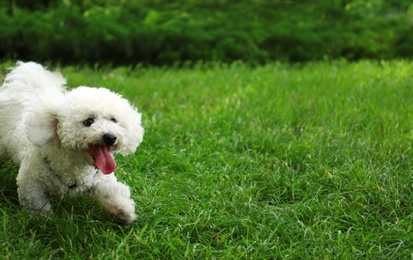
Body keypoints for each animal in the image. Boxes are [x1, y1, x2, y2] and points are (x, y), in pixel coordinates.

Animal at [0, 61, 143, 223]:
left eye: (113, 120)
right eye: (88, 121)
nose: (110, 137)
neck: (75, 166)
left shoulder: (99, 178)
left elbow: (111, 191)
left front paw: (123, 211)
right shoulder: (31, 183)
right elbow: (38, 207)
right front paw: (45, 221)